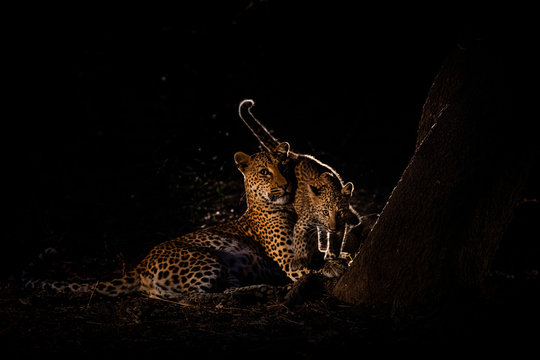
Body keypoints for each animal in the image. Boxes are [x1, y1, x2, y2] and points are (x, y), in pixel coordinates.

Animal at [24, 142, 312, 300]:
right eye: (264, 172)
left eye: (284, 167)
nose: (286, 186)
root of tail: (138, 266)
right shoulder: (289, 259)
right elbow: (315, 271)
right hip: (207, 258)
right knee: (197, 297)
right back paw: (265, 291)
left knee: (220, 290)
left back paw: (263, 290)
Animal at [238, 98, 360, 276]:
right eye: (324, 212)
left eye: (339, 212)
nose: (332, 226)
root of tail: (295, 156)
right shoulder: (303, 223)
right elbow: (299, 239)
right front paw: (299, 260)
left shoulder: (339, 224)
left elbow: (335, 241)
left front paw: (331, 256)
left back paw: (353, 218)